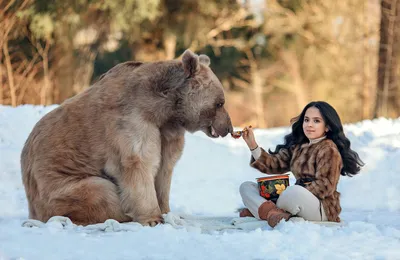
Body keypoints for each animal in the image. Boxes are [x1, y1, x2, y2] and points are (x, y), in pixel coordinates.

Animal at [21, 48, 234, 225]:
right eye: (220, 103)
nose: (228, 128)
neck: (164, 110)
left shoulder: (166, 132)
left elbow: (164, 169)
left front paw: (167, 211)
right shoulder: (131, 121)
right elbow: (138, 162)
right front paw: (153, 218)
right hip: (59, 184)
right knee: (100, 191)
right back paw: (120, 214)